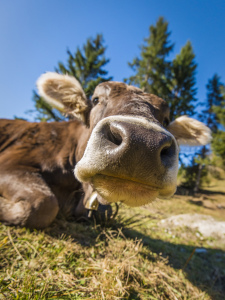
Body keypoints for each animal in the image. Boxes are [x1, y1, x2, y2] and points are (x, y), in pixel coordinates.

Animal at [0, 72, 211, 227]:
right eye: (95, 100)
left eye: (166, 119)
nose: (142, 143)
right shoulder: (11, 163)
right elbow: (44, 204)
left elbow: (104, 212)